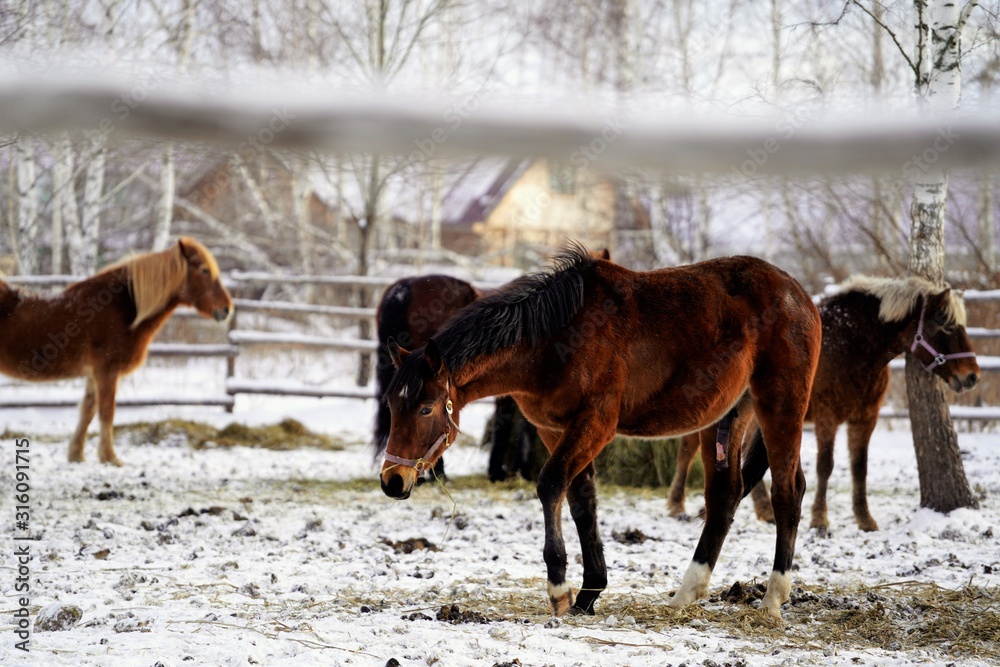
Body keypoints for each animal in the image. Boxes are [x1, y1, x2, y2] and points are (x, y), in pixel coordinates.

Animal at [0, 239, 232, 464]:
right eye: (204, 270)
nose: (227, 309)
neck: (122, 308)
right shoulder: (107, 371)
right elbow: (106, 412)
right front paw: (109, 456)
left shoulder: (93, 374)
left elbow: (88, 410)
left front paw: (76, 454)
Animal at [376, 244, 820, 620]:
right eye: (392, 406)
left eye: (426, 408)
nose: (393, 481)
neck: (556, 339)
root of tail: (800, 294)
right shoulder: (553, 428)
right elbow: (580, 501)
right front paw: (589, 594)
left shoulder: (596, 423)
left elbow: (550, 484)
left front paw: (560, 589)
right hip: (727, 416)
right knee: (724, 495)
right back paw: (686, 594)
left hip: (780, 405)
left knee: (788, 491)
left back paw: (772, 600)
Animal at [668, 276, 980, 532]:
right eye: (946, 325)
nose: (973, 375)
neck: (849, 344)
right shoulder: (827, 418)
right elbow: (825, 466)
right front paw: (819, 519)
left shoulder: (865, 418)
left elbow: (859, 467)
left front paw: (865, 519)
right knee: (687, 450)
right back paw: (677, 505)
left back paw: (762, 511)